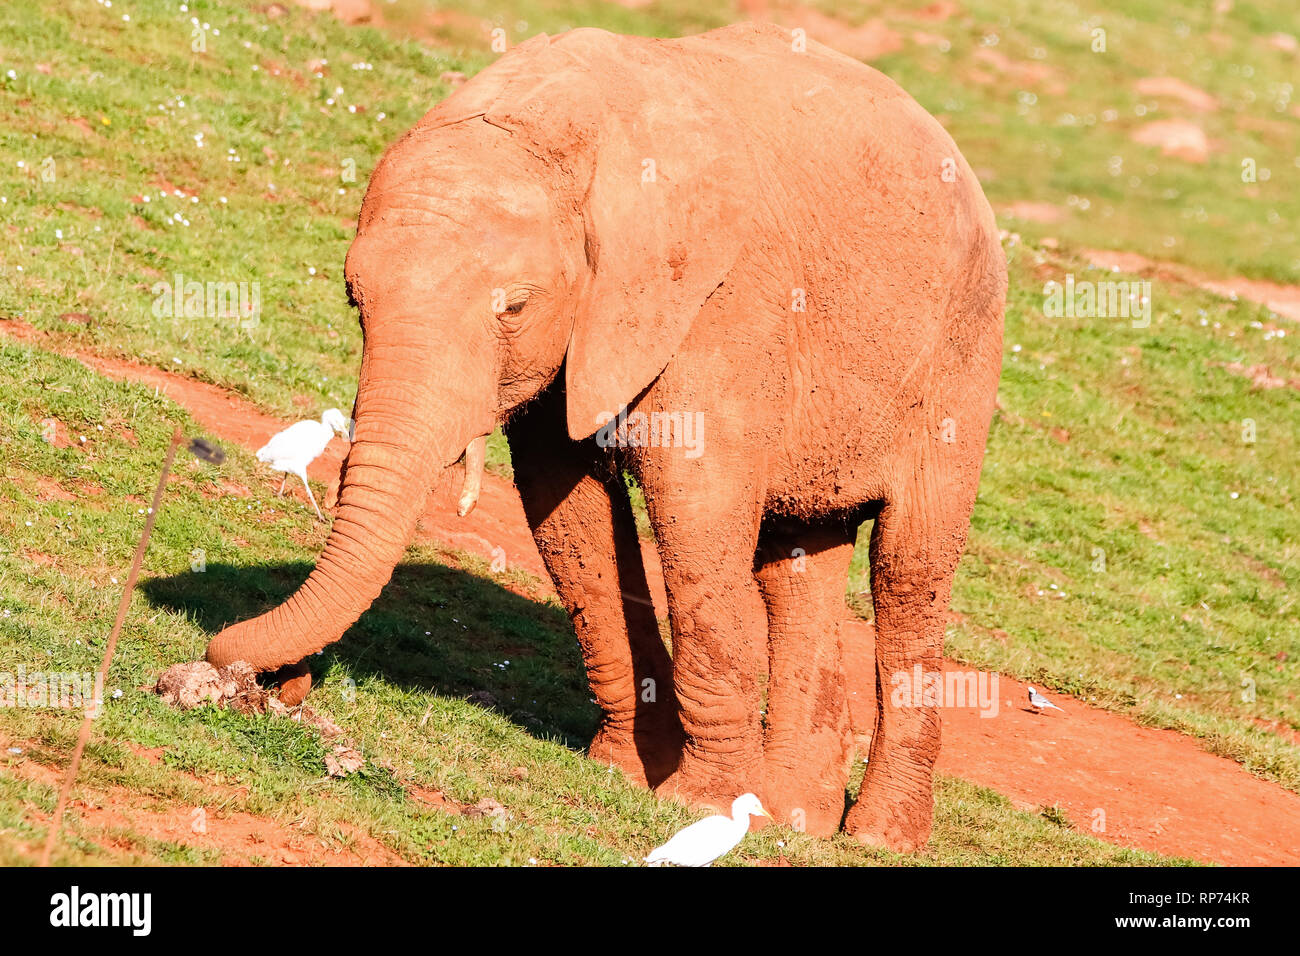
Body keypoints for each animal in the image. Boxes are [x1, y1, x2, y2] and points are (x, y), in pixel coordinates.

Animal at [205, 21, 1006, 851]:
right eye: (353, 298)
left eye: (515, 307)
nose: (280, 683)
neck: (559, 132)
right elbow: (567, 508)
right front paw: (626, 773)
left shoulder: (720, 296)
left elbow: (696, 502)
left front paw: (699, 804)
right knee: (799, 559)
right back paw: (795, 814)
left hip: (964, 350)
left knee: (909, 568)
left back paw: (877, 834)